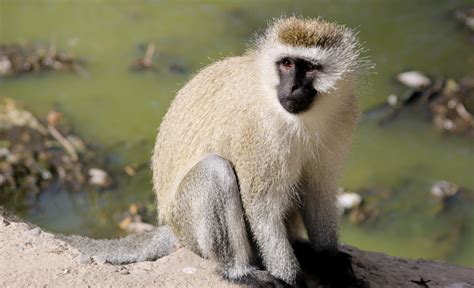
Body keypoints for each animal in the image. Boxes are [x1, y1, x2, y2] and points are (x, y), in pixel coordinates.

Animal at [65, 16, 366, 286]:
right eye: (287, 63)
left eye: (310, 68)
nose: (292, 86)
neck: (301, 118)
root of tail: (173, 229)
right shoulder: (258, 133)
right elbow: (261, 206)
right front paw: (291, 278)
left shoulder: (343, 116)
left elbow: (319, 191)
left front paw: (329, 263)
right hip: (188, 223)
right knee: (215, 170)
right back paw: (238, 271)